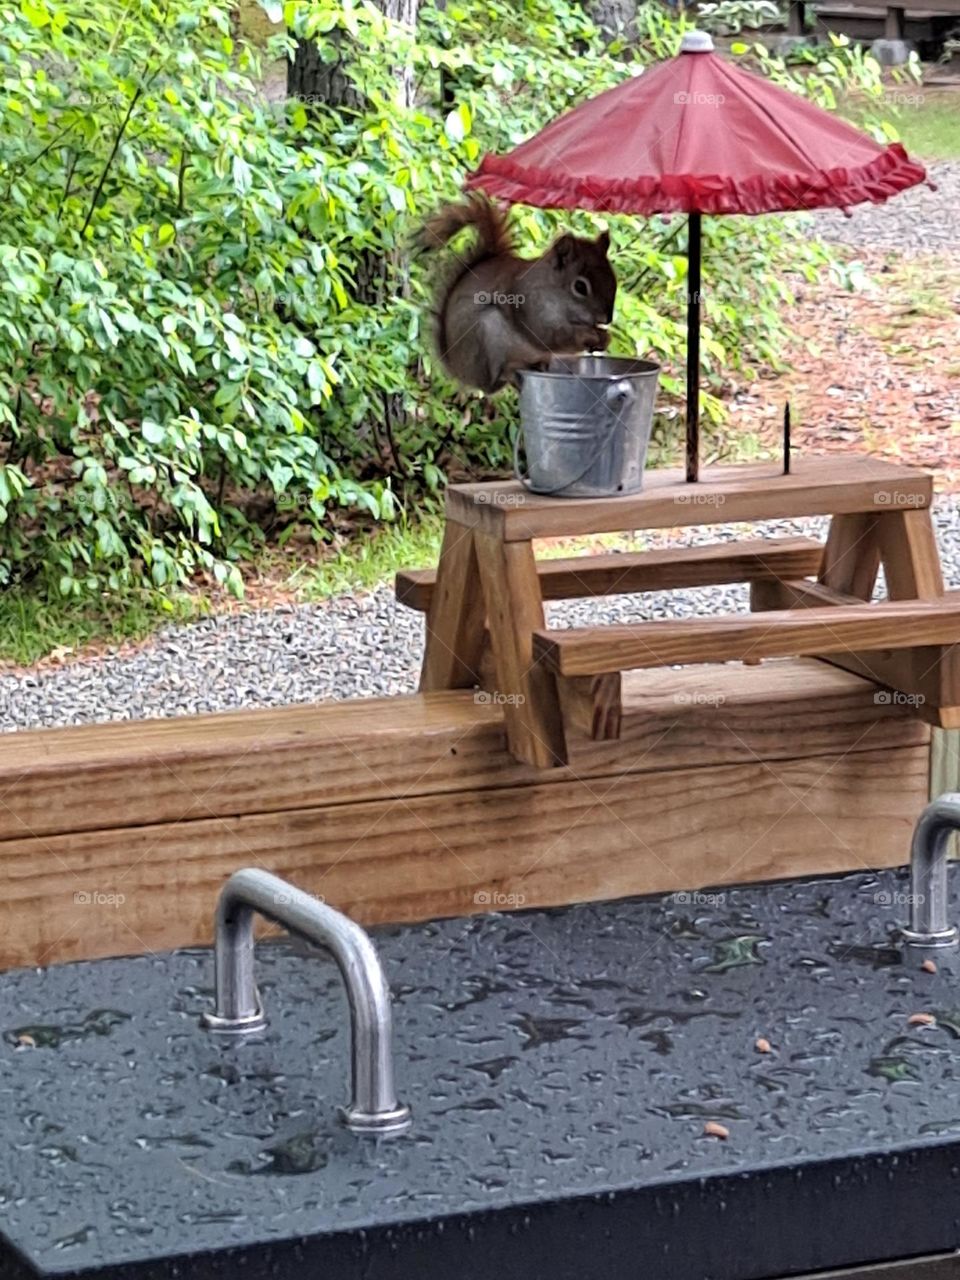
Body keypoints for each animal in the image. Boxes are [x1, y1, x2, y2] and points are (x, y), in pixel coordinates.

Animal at [419, 193, 617, 395]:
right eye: (580, 287)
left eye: (613, 278)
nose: (606, 319)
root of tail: (459, 370)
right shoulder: (529, 305)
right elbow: (549, 336)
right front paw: (588, 335)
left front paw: (604, 338)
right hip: (486, 335)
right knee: (494, 383)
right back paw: (510, 371)